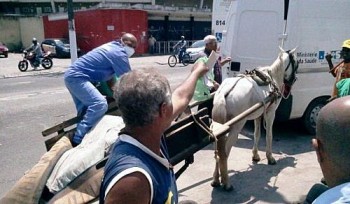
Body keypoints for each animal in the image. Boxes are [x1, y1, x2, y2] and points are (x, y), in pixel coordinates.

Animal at [211, 47, 298, 191]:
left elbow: (257, 134)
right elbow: (269, 135)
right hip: (236, 127)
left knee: (218, 151)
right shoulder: (270, 113)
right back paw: (226, 182)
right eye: (296, 63)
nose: (294, 79)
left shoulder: (258, 115)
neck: (272, 78)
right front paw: (270, 157)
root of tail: (224, 92)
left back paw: (216, 179)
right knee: (224, 152)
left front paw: (255, 155)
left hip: (218, 128)